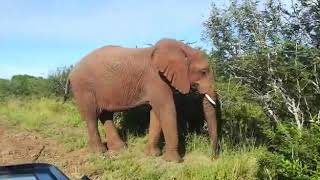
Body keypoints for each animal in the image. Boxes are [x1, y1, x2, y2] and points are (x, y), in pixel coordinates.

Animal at [66, 38, 219, 162]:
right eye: (203, 72)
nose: (212, 157)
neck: (182, 49)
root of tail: (71, 71)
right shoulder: (155, 79)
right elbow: (166, 109)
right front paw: (173, 161)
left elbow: (156, 113)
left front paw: (152, 155)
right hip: (83, 88)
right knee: (91, 116)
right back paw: (99, 151)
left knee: (106, 115)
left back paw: (119, 149)